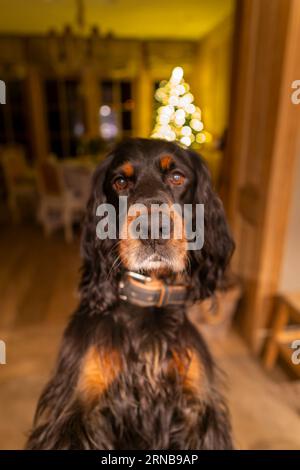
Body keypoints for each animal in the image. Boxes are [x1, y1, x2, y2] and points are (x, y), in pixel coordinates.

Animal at [26, 138, 234, 450]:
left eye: (177, 177)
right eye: (120, 182)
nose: (153, 229)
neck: (147, 300)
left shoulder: (199, 410)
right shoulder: (75, 409)